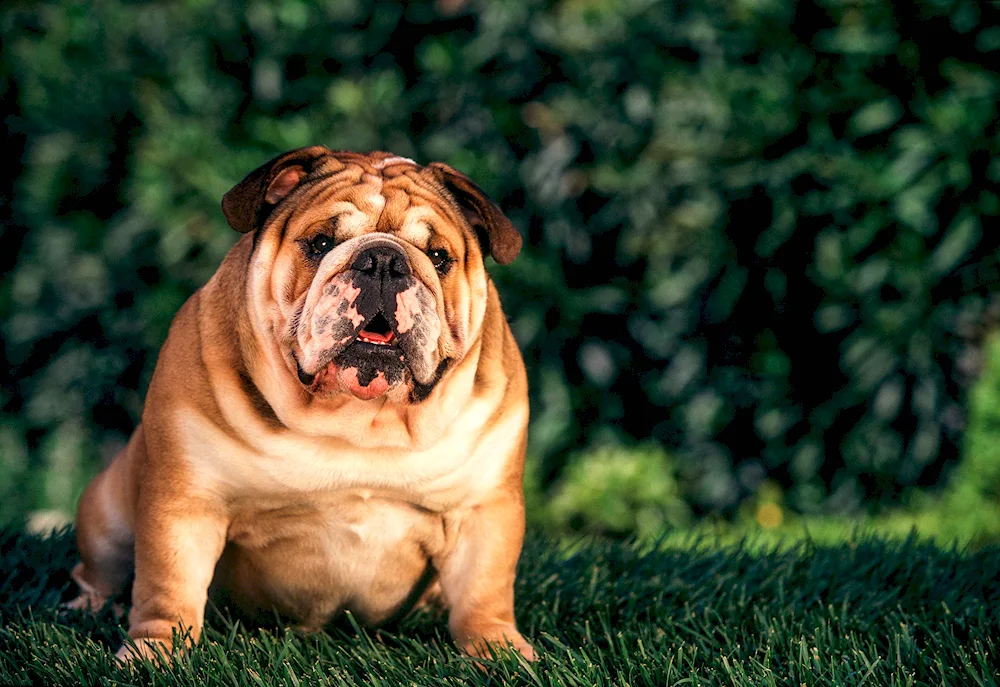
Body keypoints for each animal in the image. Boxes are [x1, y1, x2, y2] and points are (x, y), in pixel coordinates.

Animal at [66, 148, 536, 664]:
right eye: (320, 242)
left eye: (438, 257)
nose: (384, 260)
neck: (360, 422)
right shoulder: (186, 500)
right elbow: (167, 585)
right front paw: (154, 653)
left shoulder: (482, 509)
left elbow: (483, 591)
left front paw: (499, 652)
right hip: (107, 512)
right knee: (101, 569)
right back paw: (88, 605)